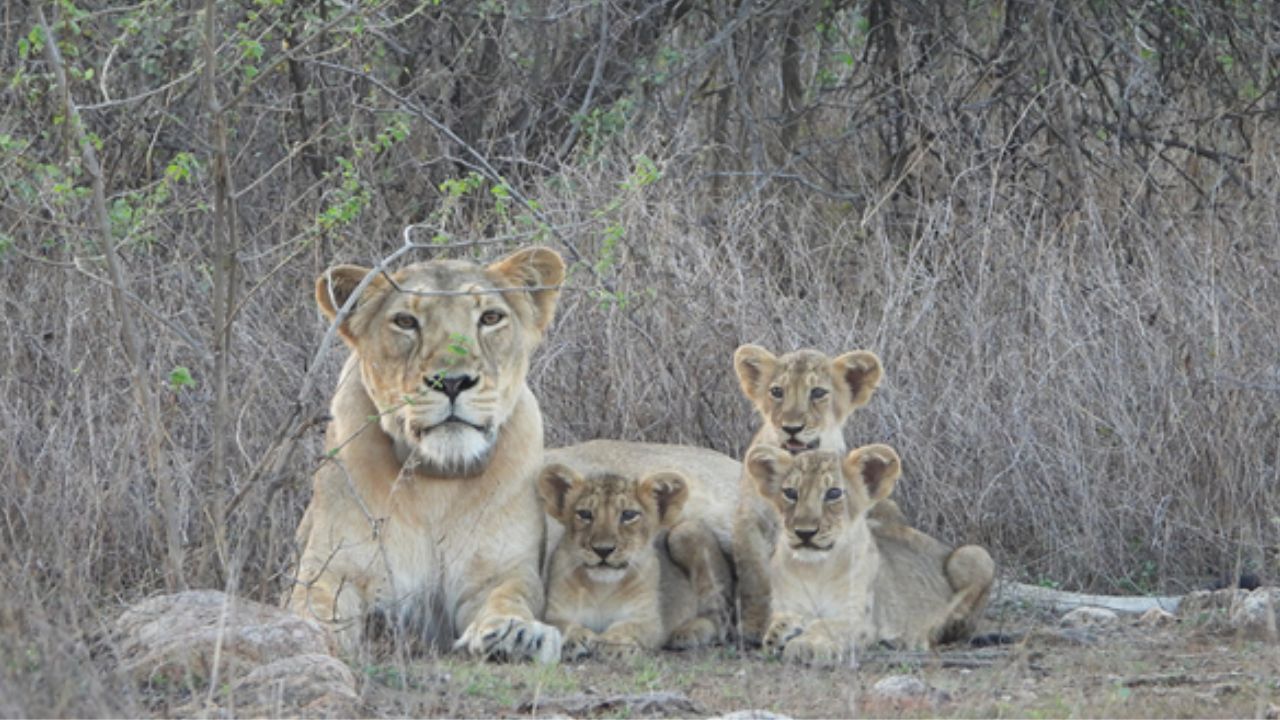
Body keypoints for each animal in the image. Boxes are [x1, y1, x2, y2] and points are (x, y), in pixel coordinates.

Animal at [286, 246, 566, 662]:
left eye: (490, 318)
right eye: (405, 321)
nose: (452, 382)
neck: (438, 479)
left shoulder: (501, 571)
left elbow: (509, 596)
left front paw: (515, 634)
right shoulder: (333, 567)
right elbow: (313, 603)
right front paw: (307, 634)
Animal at [731, 344, 884, 643]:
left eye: (818, 392)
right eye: (777, 391)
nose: (791, 428)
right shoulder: (749, 520)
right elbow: (757, 575)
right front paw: (757, 625)